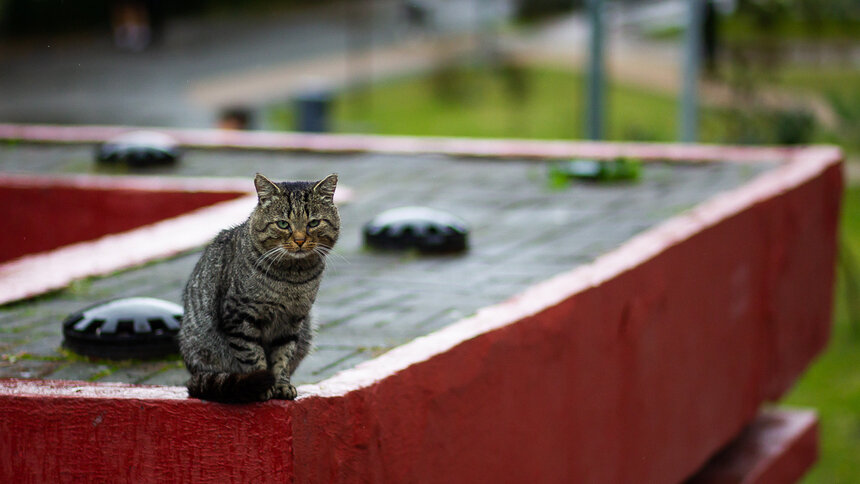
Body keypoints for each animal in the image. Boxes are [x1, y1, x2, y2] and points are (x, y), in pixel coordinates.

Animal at [181, 172, 340, 402]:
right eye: (283, 224)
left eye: (313, 223)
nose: (300, 240)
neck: (293, 277)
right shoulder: (239, 317)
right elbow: (254, 357)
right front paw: (264, 386)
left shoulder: (292, 322)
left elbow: (282, 358)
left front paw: (281, 385)